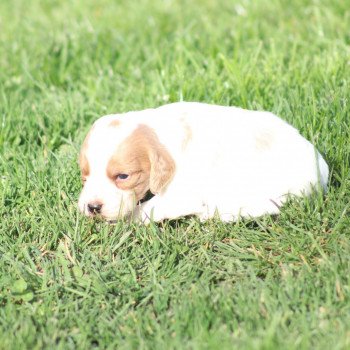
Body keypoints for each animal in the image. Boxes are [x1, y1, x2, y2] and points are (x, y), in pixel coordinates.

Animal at [78, 101, 330, 223]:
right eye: (85, 176)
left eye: (123, 176)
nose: (92, 207)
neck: (158, 134)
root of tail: (322, 169)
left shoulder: (180, 194)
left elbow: (145, 210)